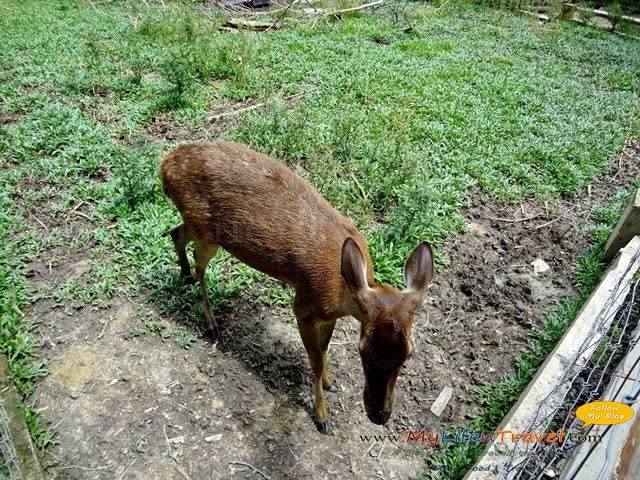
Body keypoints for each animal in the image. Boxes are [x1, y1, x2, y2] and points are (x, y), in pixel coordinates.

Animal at [162, 141, 436, 434]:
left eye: (407, 354)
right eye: (361, 350)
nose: (379, 415)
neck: (343, 291)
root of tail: (164, 166)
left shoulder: (328, 316)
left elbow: (325, 350)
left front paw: (330, 382)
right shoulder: (304, 306)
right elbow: (314, 361)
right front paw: (322, 417)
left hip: (197, 226)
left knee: (176, 232)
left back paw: (184, 273)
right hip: (205, 231)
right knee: (198, 263)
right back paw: (211, 322)